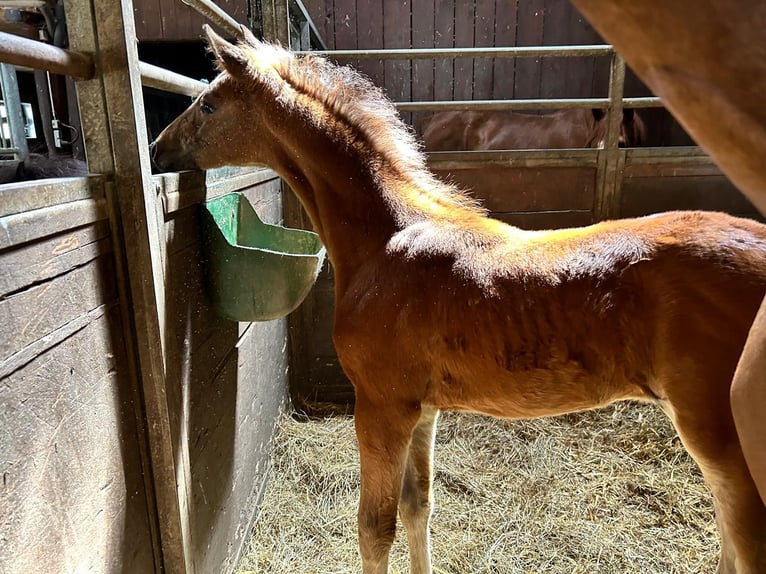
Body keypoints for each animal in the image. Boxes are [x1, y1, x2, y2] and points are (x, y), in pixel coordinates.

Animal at [150, 28, 766, 574]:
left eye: (208, 105)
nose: (157, 149)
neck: (389, 237)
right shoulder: (422, 409)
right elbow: (417, 507)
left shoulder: (380, 405)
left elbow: (375, 528)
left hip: (724, 442)